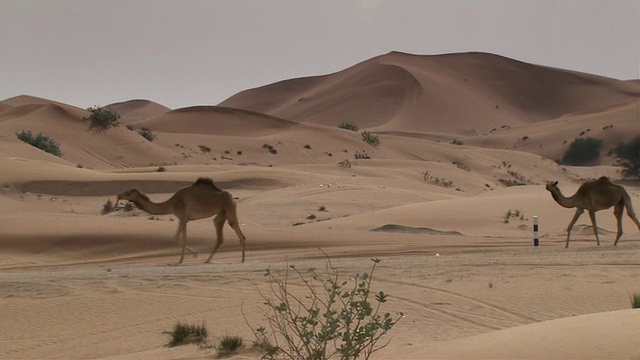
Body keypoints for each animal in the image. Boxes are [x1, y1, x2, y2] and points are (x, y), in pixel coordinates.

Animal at [116, 178, 246, 264]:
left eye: (127, 193)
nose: (118, 196)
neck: (171, 203)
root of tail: (232, 197)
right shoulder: (183, 219)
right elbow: (178, 238)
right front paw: (189, 256)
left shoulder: (183, 217)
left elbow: (179, 238)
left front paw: (184, 258)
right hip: (221, 212)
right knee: (219, 233)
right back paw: (208, 260)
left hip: (229, 207)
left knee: (237, 230)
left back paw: (242, 259)